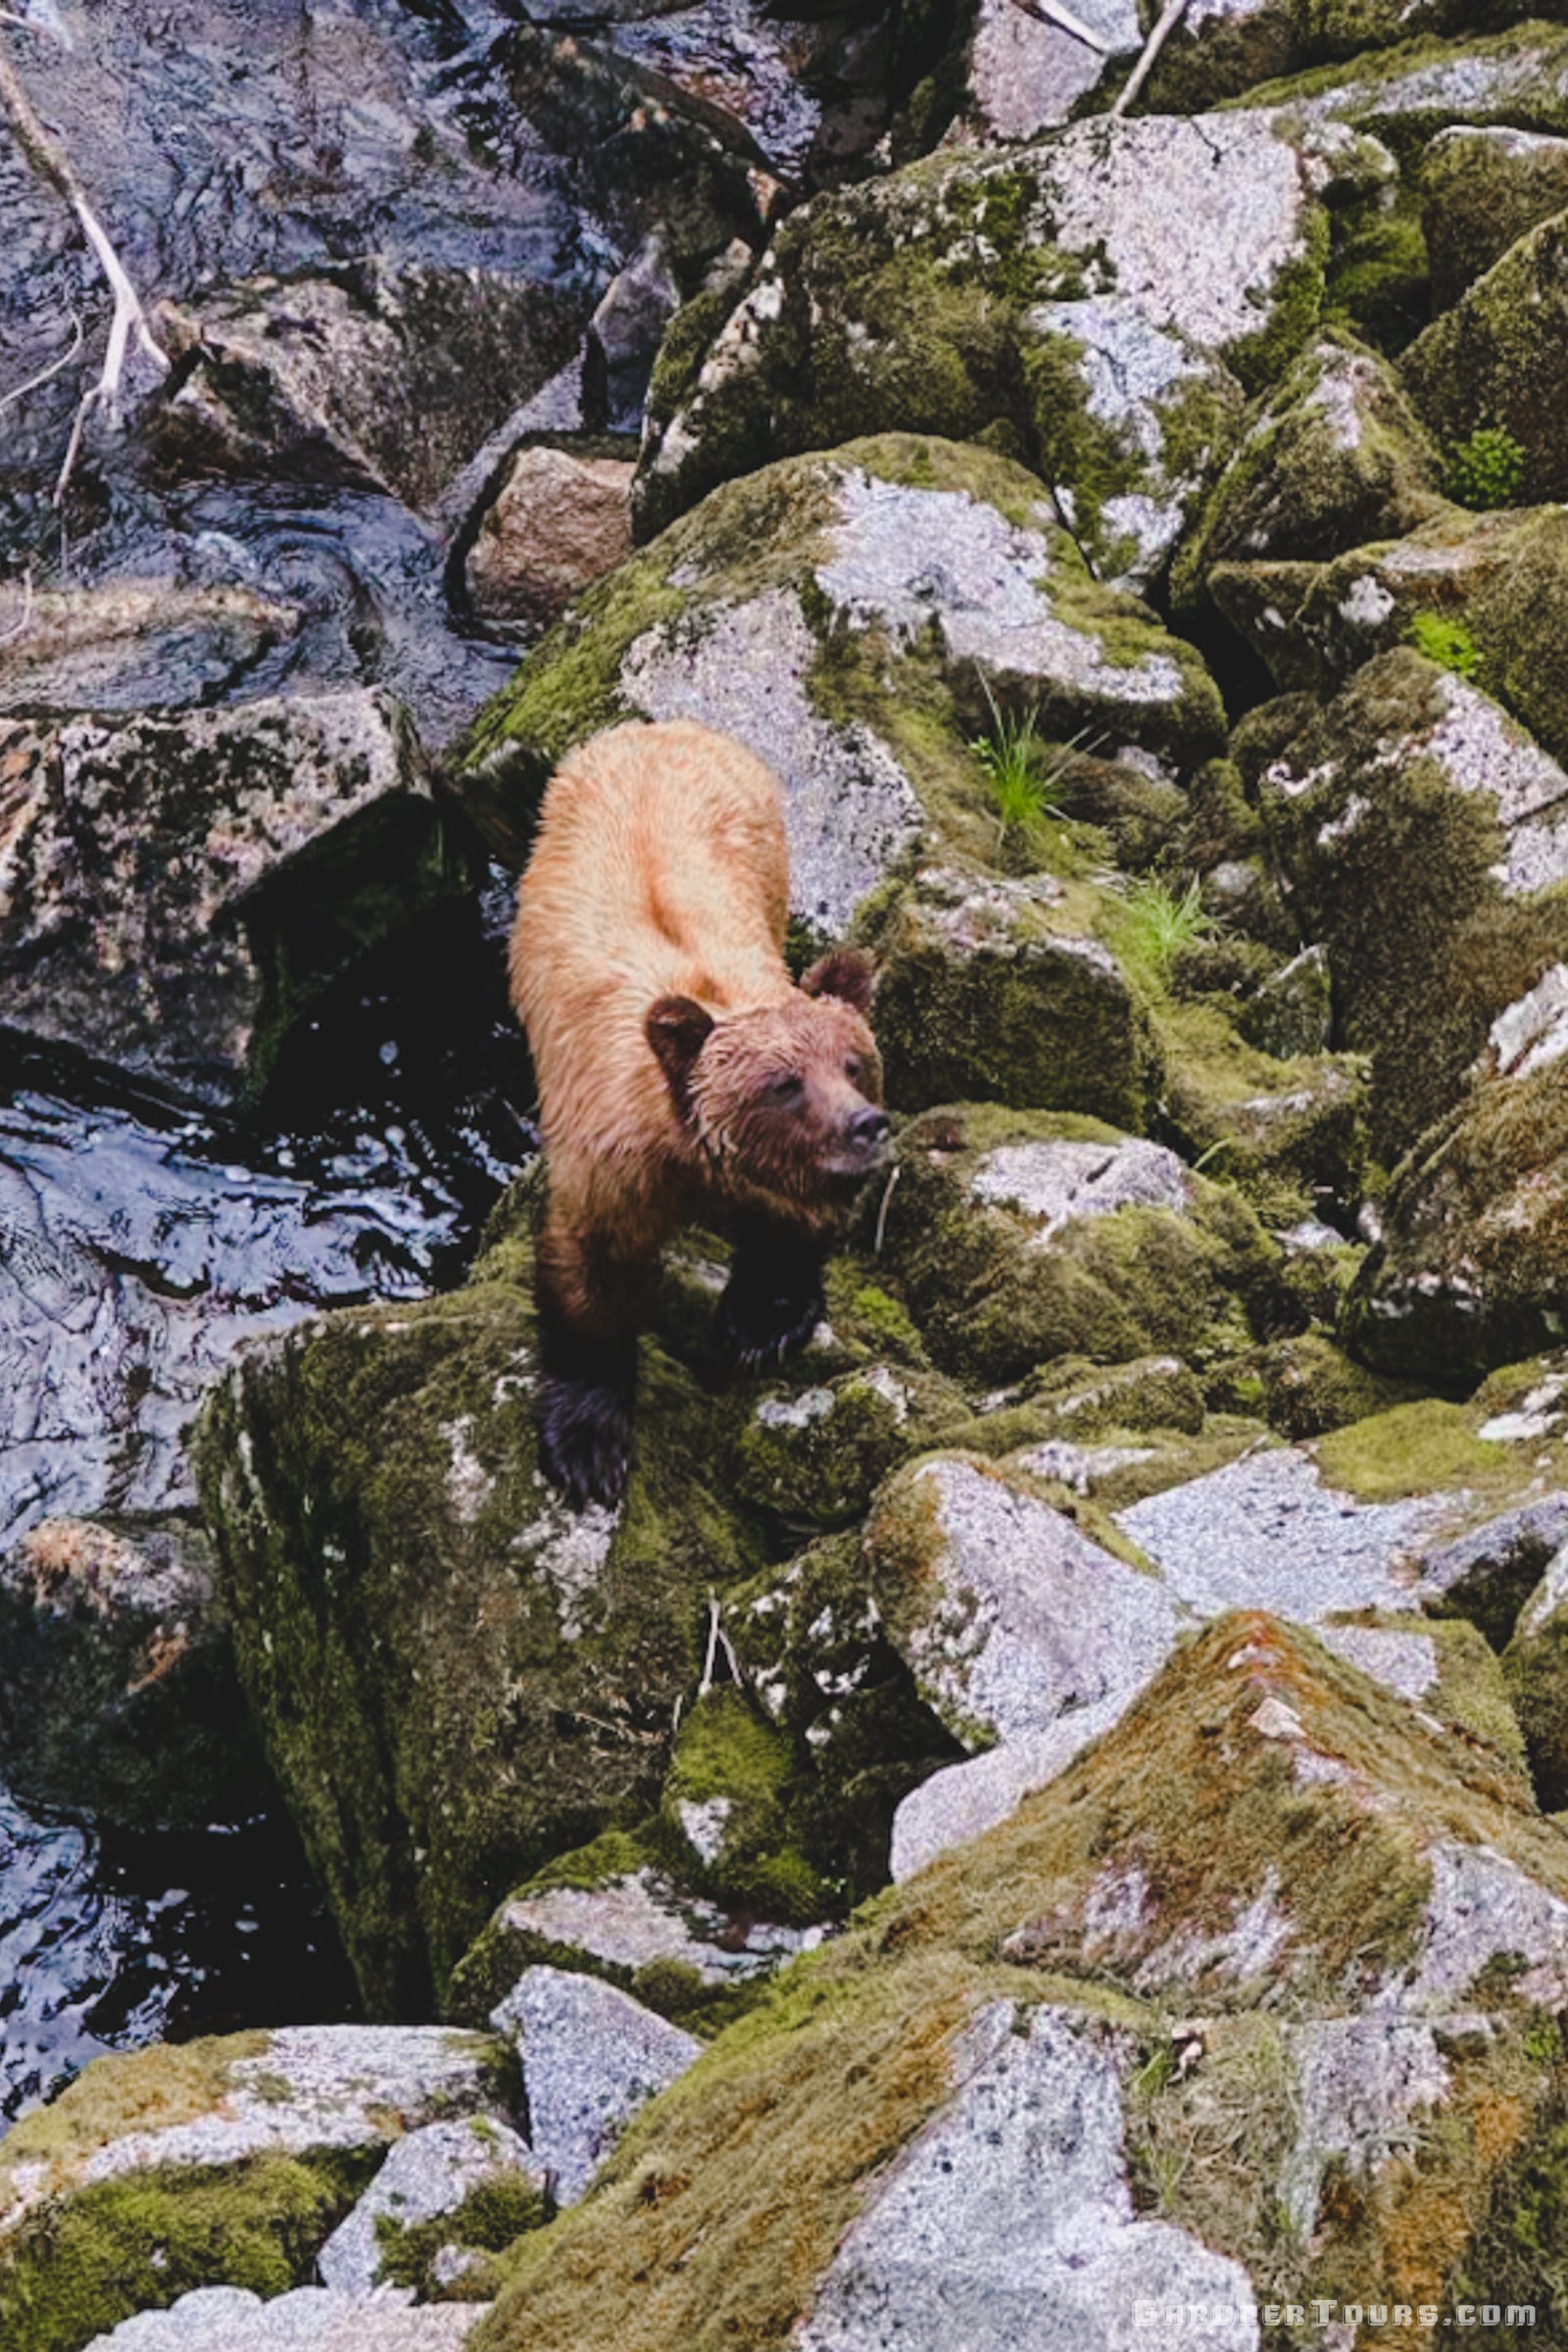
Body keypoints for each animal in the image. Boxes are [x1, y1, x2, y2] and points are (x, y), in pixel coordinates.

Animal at [510, 717, 890, 1509]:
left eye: (853, 1065)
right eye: (784, 1084)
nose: (865, 1127)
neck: (693, 1160)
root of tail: (657, 727)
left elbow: (788, 1236)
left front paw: (762, 1323)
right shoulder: (612, 1163)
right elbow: (589, 1276)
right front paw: (589, 1447)